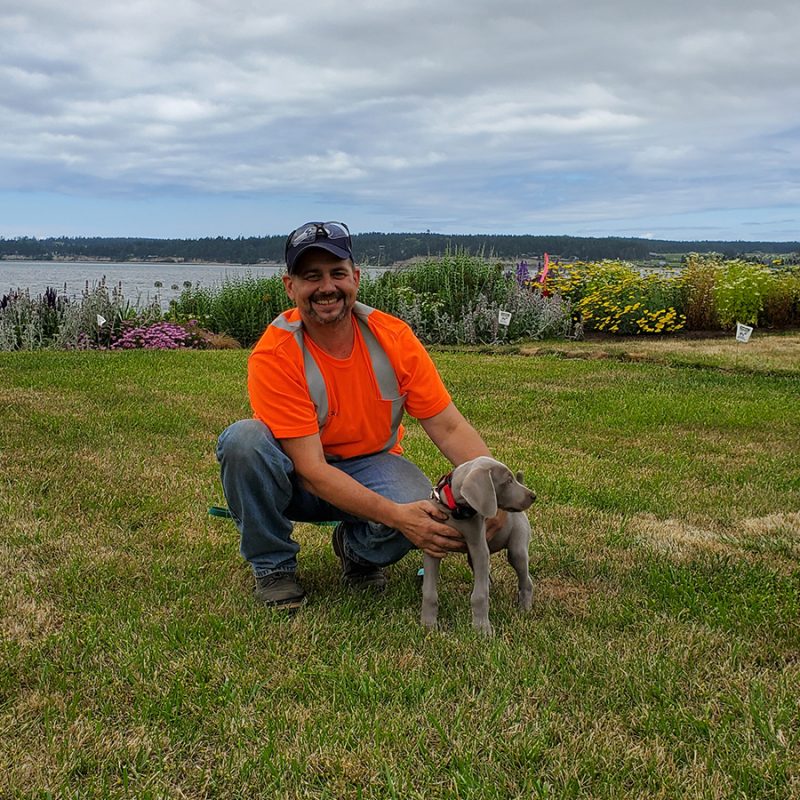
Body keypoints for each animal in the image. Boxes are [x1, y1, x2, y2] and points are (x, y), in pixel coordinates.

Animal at [418, 460, 536, 636]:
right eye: (508, 481)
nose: (533, 496)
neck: (456, 511)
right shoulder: (434, 545)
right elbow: (429, 592)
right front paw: (428, 625)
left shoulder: (479, 549)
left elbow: (479, 595)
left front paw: (482, 629)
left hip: (518, 549)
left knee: (526, 580)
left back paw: (524, 609)